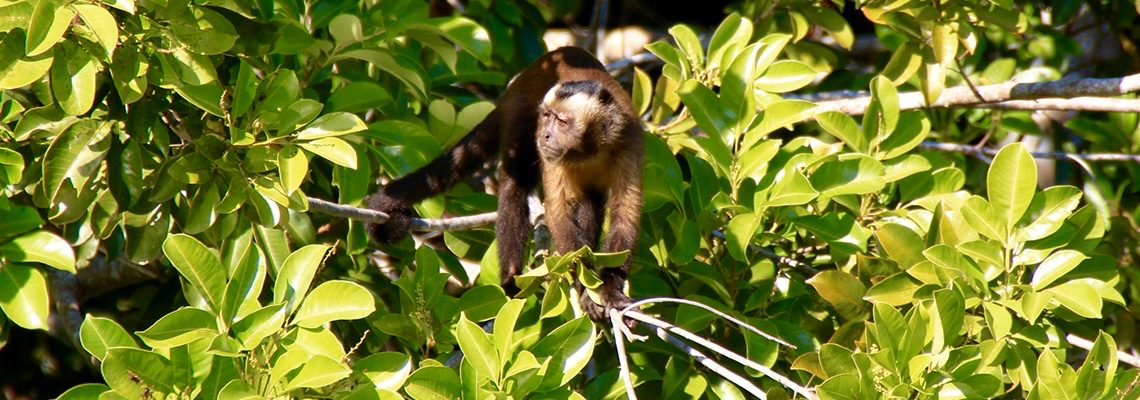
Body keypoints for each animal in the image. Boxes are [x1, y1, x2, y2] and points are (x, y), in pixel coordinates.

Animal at [369, 46, 647, 323]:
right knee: (516, 188)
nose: (545, 134)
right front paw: (588, 291)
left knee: (590, 201)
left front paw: (610, 291)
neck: (589, 150)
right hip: (521, 112)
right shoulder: (549, 152)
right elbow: (559, 214)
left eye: (561, 121)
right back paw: (511, 282)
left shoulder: (629, 140)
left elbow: (624, 216)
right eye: (547, 117)